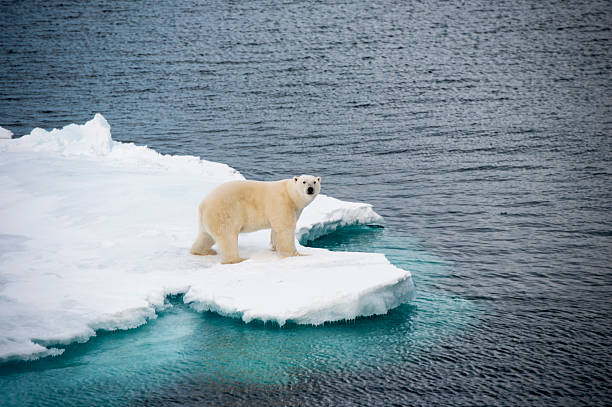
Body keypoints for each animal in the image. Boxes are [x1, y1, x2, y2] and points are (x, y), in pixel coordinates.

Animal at [191, 175, 322, 264]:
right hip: (225, 212)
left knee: (206, 236)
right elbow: (285, 228)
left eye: (314, 182)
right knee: (227, 236)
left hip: (208, 219)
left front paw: (274, 248)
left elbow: (276, 229)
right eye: (304, 182)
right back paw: (238, 259)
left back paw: (203, 251)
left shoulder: (293, 209)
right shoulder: (282, 202)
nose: (310, 189)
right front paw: (297, 255)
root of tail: (203, 205)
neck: (290, 194)